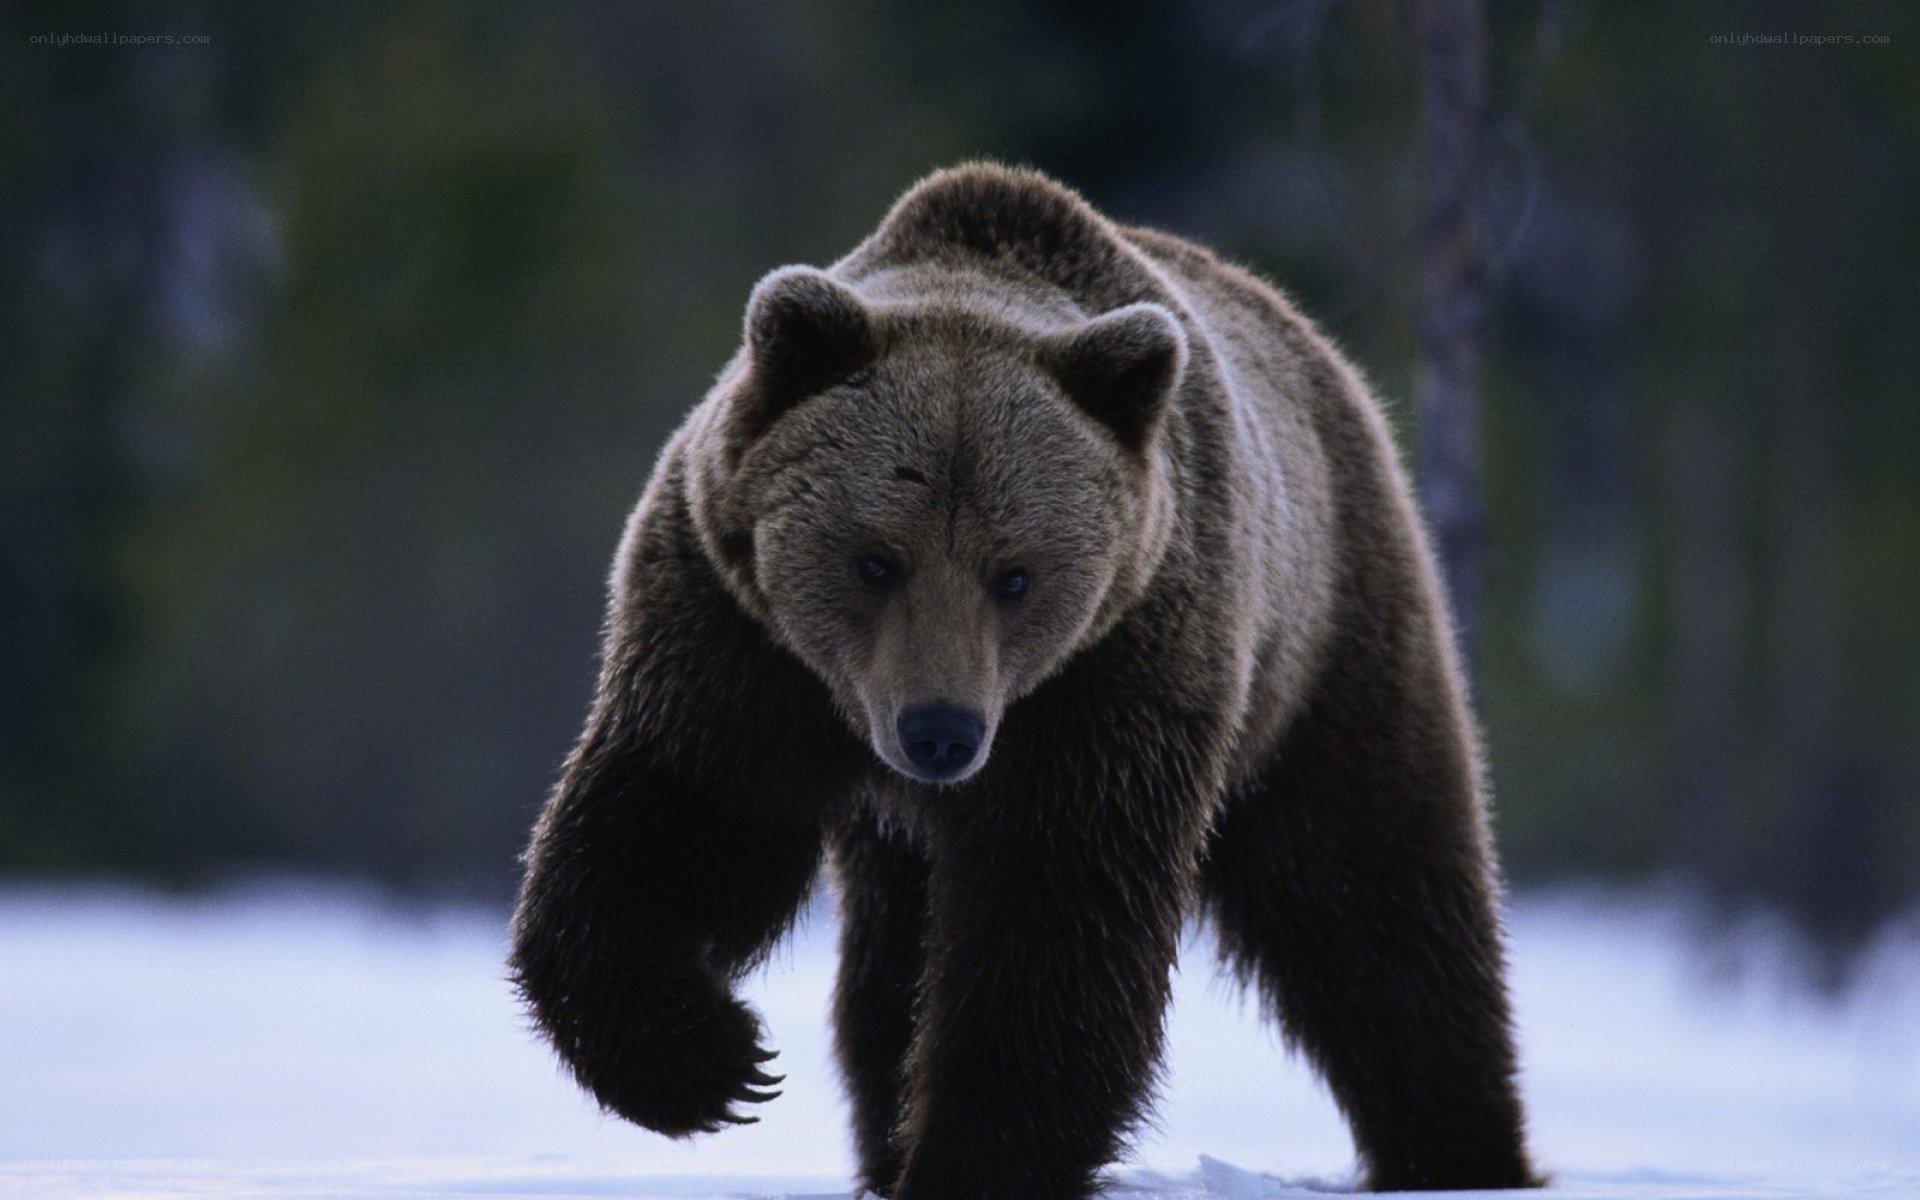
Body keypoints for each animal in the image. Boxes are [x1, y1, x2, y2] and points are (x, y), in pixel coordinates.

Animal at [509, 163, 1537, 1198]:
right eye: (876, 559)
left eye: (1015, 573)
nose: (940, 731)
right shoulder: (735, 640)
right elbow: (682, 820)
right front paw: (710, 1062)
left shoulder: (1115, 675)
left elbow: (1052, 927)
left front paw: (973, 1157)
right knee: (890, 964)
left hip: (1328, 641)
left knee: (1373, 899)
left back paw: (1464, 1147)